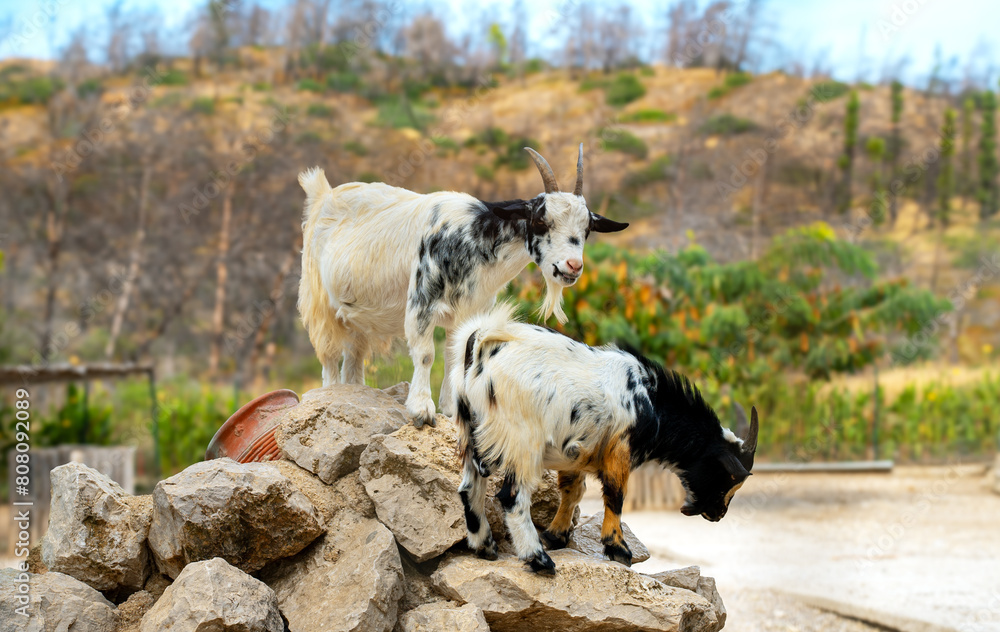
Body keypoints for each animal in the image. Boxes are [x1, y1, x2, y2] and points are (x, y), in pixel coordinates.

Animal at [298, 146, 628, 427]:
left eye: (587, 228)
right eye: (541, 220)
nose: (573, 266)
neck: (471, 238)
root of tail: (322, 194)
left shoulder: (468, 312)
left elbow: (455, 357)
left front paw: (450, 409)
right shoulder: (422, 301)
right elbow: (426, 354)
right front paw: (422, 410)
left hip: (357, 318)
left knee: (353, 357)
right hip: (320, 302)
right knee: (329, 356)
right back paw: (330, 392)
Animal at [451, 304, 759, 574]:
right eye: (729, 477)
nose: (718, 514)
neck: (650, 399)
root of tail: (481, 347)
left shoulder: (575, 454)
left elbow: (573, 491)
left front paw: (556, 535)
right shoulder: (619, 450)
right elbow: (616, 495)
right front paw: (618, 549)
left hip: (469, 431)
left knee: (469, 487)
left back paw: (485, 546)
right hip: (524, 442)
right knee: (512, 496)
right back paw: (539, 560)